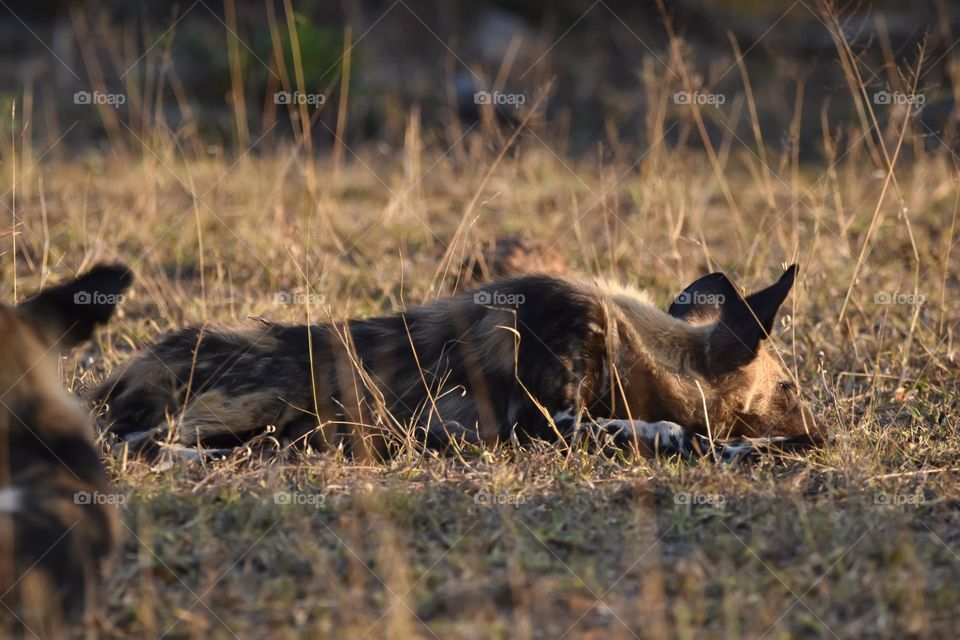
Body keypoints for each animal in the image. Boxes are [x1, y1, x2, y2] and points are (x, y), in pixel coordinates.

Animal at [94, 262, 820, 462]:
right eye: (788, 389)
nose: (821, 435)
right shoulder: (546, 424)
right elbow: (674, 431)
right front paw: (744, 450)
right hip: (259, 399)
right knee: (143, 444)